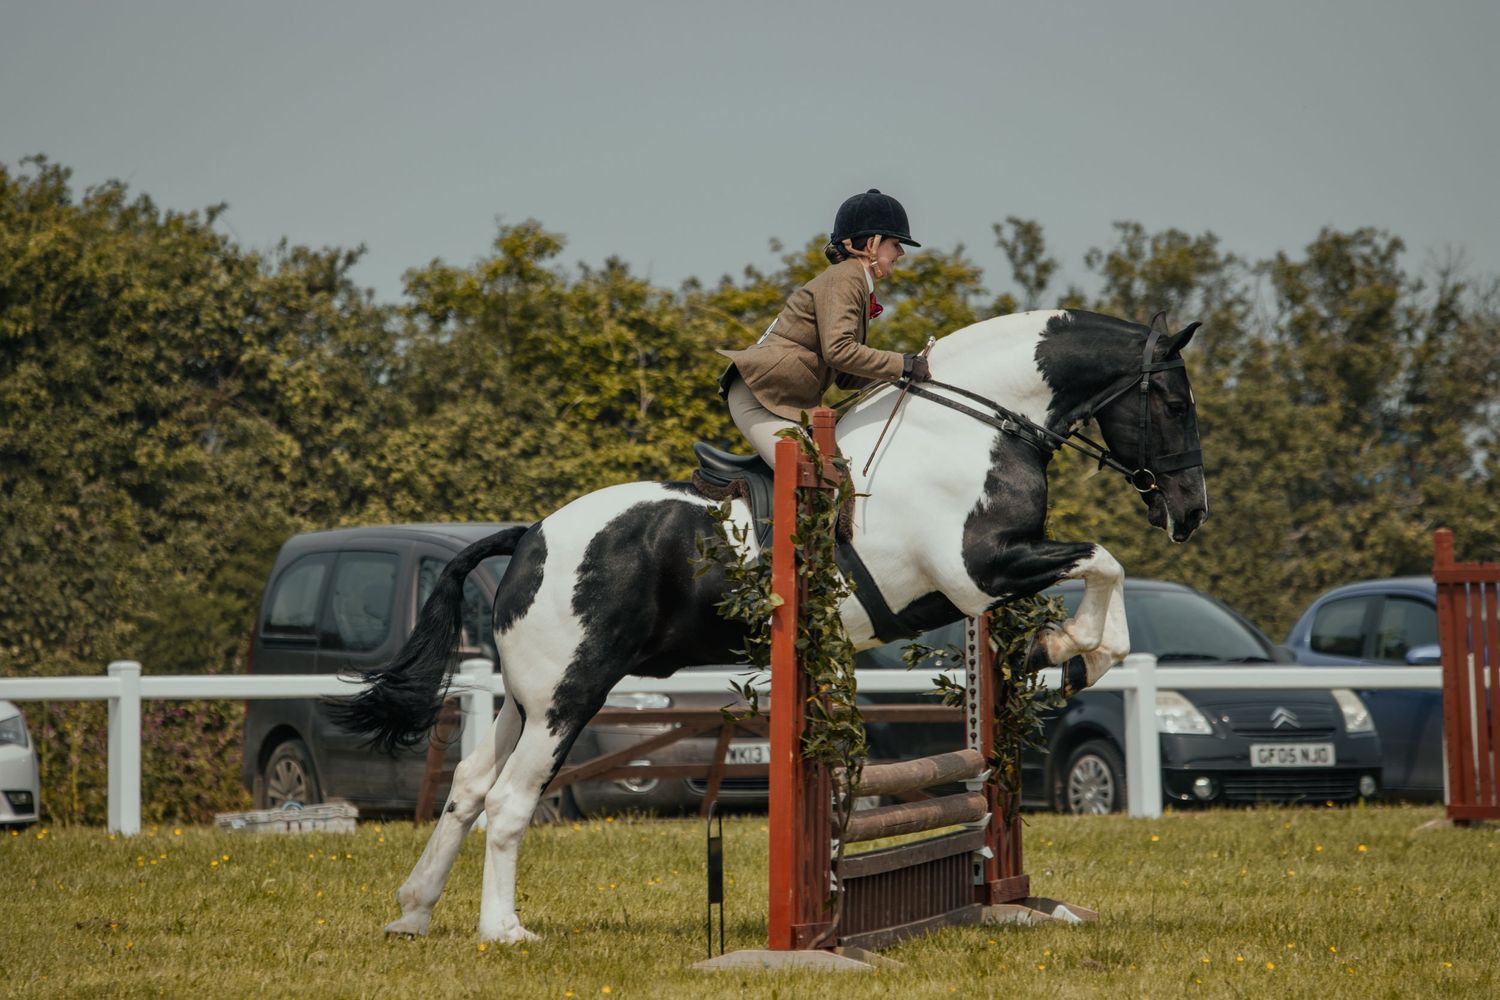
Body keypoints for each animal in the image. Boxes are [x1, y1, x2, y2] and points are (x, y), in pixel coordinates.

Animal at [331, 308, 1208, 943]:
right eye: (1171, 402)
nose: (1189, 513)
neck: (975, 427)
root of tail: (530, 536)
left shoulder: (981, 584)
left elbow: (1098, 568)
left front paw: (1060, 649)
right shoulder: (978, 572)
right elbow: (1104, 563)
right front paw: (1073, 652)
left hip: (526, 697)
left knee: (469, 788)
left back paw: (413, 913)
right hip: (570, 694)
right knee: (512, 799)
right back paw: (504, 932)